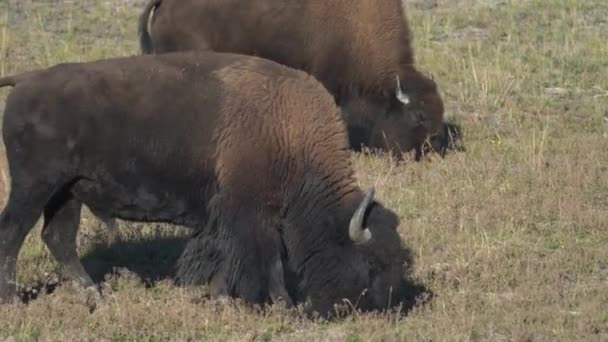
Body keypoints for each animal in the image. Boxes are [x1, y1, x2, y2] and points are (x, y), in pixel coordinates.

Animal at [0, 49, 422, 316]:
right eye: (370, 263)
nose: (383, 307)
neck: (290, 131)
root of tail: (27, 81)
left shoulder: (230, 216)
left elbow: (227, 258)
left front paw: (221, 301)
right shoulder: (252, 214)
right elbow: (265, 261)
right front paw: (282, 307)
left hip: (67, 192)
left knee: (58, 238)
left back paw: (95, 297)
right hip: (34, 187)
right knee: (13, 233)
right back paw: (13, 301)